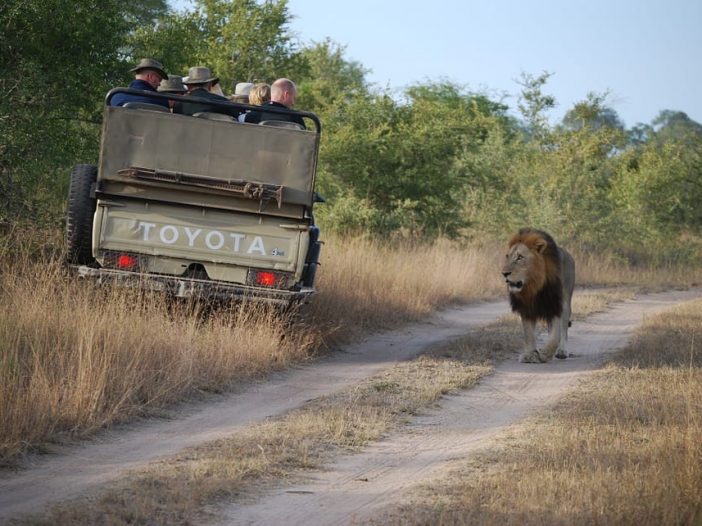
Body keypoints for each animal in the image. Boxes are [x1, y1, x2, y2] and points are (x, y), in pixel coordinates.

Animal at [504, 229, 580, 366]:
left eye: (520, 257)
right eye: (507, 256)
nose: (504, 273)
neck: (535, 285)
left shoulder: (555, 304)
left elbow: (556, 335)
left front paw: (545, 353)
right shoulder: (526, 308)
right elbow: (528, 334)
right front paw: (530, 355)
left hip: (566, 302)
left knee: (563, 328)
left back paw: (561, 351)